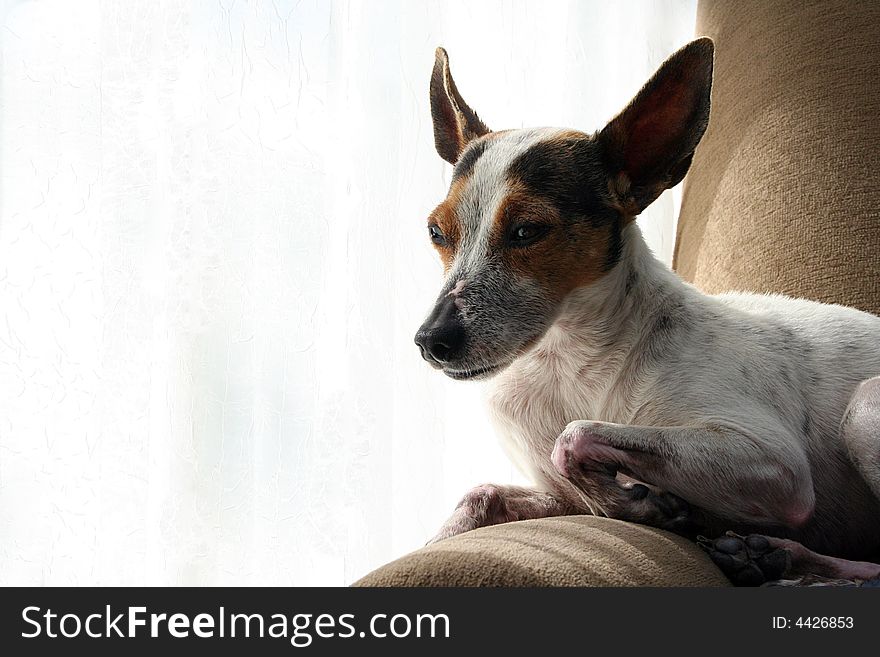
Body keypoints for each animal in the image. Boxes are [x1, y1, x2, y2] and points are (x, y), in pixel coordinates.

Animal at [416, 38, 880, 584]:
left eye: (528, 230)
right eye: (437, 232)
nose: (431, 342)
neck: (567, 361)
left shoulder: (775, 465)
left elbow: (574, 437)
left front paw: (641, 505)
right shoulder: (555, 497)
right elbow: (481, 495)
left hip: (864, 406)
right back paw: (769, 555)